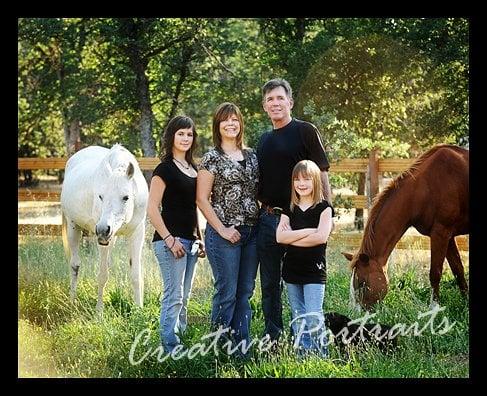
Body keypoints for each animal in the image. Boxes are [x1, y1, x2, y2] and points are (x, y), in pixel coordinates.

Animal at [60, 144, 149, 310]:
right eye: (101, 196)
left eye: (126, 197)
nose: (102, 229)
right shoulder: (104, 240)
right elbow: (102, 276)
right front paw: (99, 312)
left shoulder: (136, 234)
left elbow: (136, 275)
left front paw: (138, 310)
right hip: (73, 227)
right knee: (75, 265)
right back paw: (72, 301)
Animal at [344, 145, 468, 310]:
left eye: (362, 283)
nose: (355, 313)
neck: (424, 188)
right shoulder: (448, 236)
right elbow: (458, 270)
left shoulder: (441, 234)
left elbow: (435, 272)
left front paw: (434, 308)